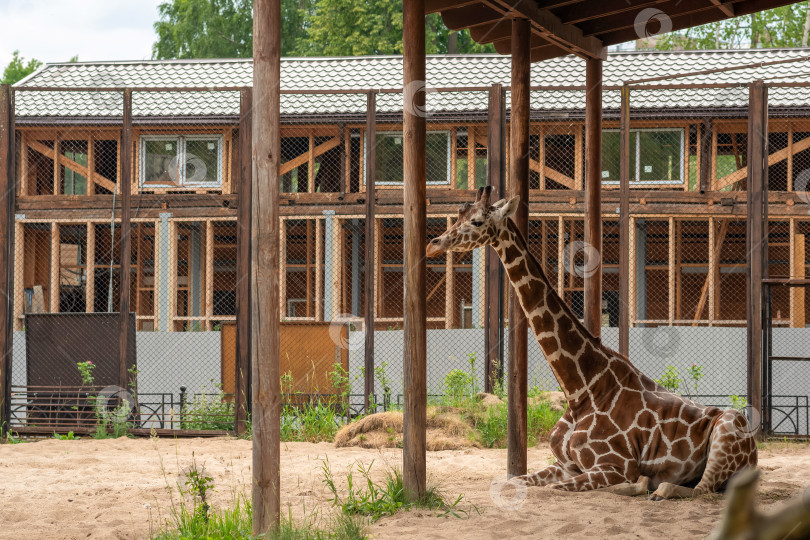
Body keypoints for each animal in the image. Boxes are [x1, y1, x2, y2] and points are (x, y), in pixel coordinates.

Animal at [422, 186, 756, 498]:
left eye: (477, 221)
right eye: (458, 215)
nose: (432, 244)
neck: (579, 390)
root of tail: (753, 451)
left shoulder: (614, 465)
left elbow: (558, 489)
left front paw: (640, 482)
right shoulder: (565, 464)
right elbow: (513, 482)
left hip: (728, 427)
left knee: (698, 489)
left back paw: (654, 488)